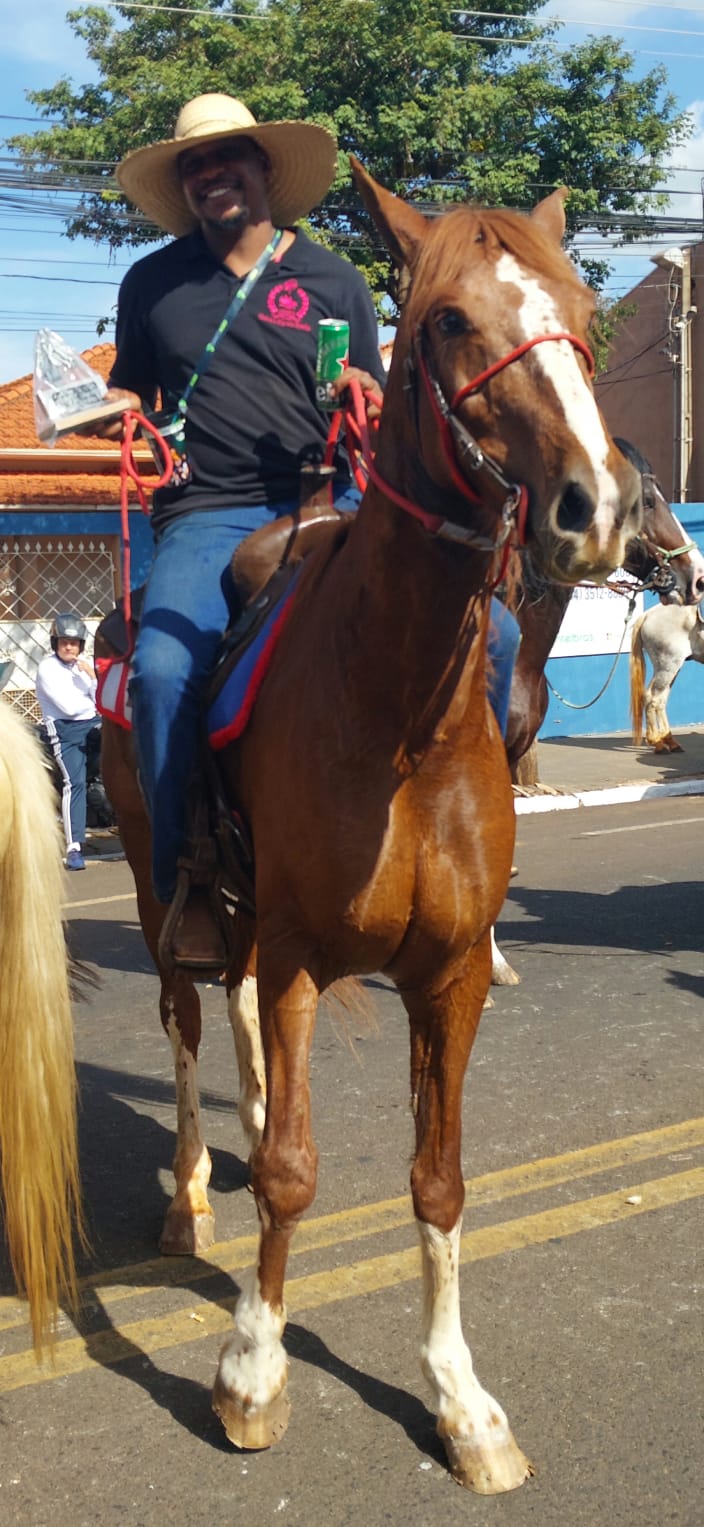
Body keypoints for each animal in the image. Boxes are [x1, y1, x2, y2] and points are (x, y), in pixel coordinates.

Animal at [99, 160, 640, 1494]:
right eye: (444, 321)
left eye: (582, 315)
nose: (593, 508)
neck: (397, 718)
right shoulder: (301, 951)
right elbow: (293, 1177)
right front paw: (252, 1372)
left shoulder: (448, 973)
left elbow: (437, 1183)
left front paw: (461, 1403)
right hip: (154, 884)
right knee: (188, 1020)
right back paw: (190, 1188)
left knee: (237, 1021)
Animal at [630, 602, 704, 751]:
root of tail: (648, 614)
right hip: (668, 665)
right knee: (652, 697)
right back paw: (657, 742)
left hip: (669, 667)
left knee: (660, 700)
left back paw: (670, 741)